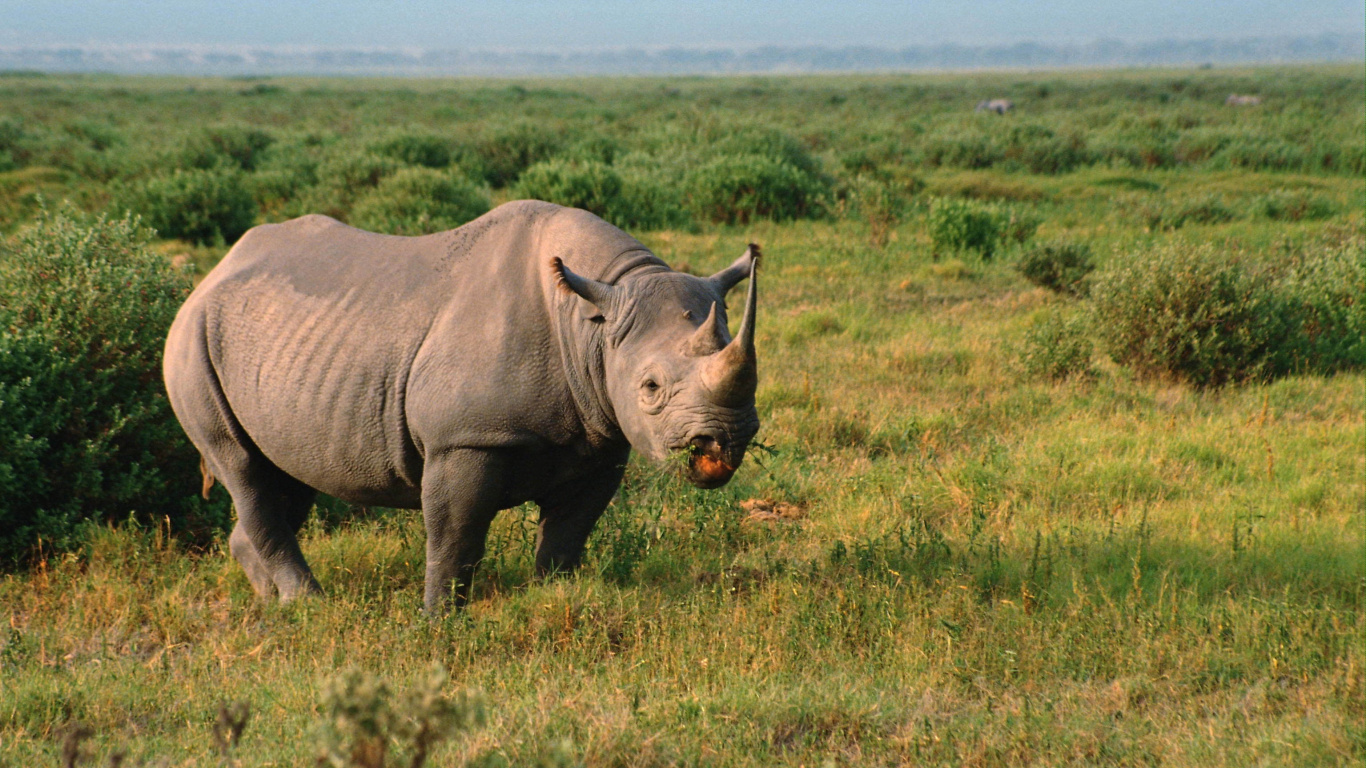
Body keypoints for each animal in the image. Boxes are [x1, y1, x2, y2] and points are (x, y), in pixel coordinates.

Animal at [164, 200, 761, 612]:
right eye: (651, 388)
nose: (722, 440)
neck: (594, 319)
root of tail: (211, 274)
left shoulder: (601, 441)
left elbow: (569, 532)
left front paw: (551, 597)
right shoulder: (465, 438)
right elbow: (457, 533)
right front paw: (439, 620)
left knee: (287, 474)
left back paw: (273, 602)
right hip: (190, 343)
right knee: (243, 468)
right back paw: (310, 606)